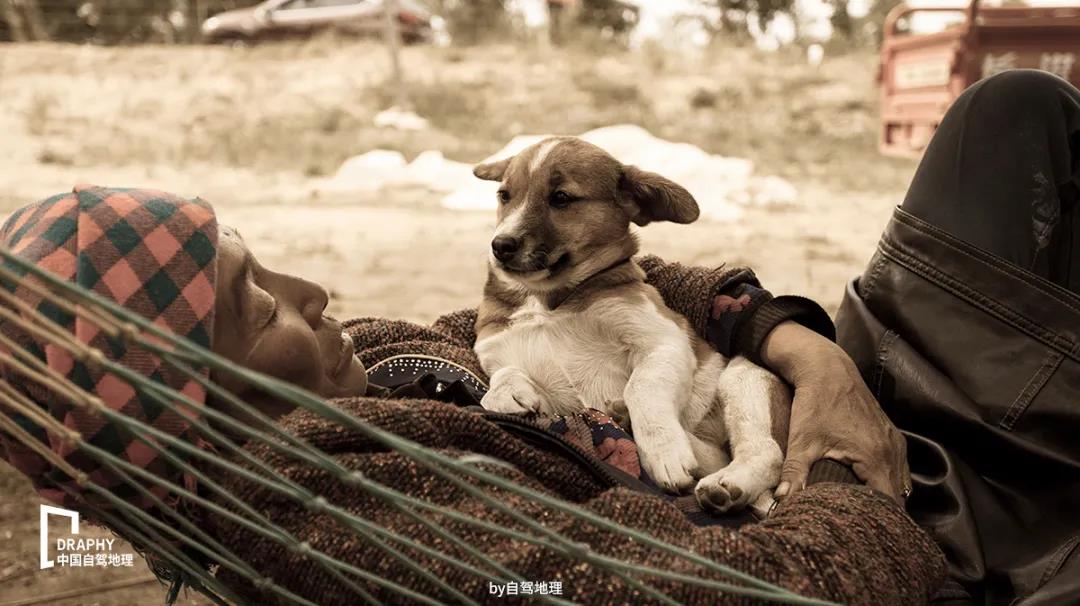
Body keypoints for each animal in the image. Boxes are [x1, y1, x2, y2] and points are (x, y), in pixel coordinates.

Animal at [468, 136, 790, 509]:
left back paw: (724, 483)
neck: (550, 301)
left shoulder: (663, 341)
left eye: (560, 198)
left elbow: (641, 388)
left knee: (764, 451)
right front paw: (509, 393)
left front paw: (664, 452)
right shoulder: (509, 362)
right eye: (504, 195)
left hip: (744, 376)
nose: (500, 245)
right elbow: (502, 376)